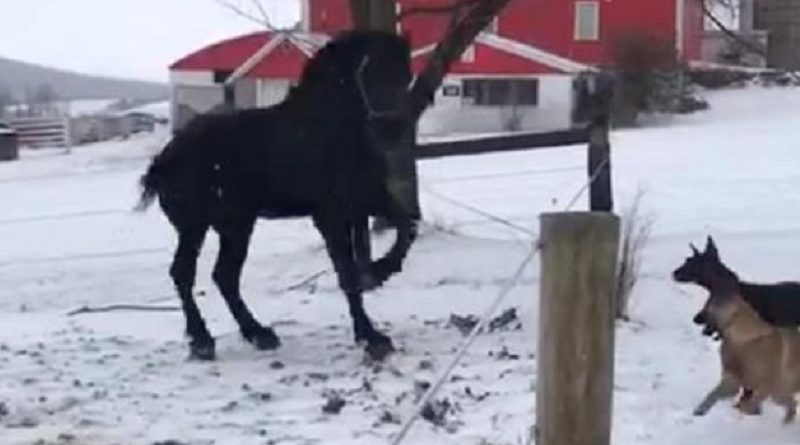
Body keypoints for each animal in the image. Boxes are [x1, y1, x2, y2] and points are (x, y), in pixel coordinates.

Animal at [138, 30, 422, 360]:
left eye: (405, 74)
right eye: (369, 69)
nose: (393, 127)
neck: (328, 130)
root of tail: (164, 158)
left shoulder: (366, 202)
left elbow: (407, 225)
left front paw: (380, 271)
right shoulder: (330, 214)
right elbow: (347, 272)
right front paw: (372, 336)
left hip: (234, 226)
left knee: (224, 276)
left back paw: (258, 334)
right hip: (198, 227)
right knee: (185, 273)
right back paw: (203, 340)